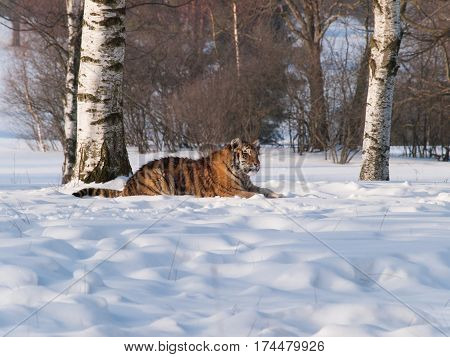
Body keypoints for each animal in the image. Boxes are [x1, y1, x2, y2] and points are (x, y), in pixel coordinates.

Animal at [73, 138, 284, 199]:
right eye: (246, 154)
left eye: (257, 154)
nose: (257, 164)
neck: (242, 173)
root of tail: (128, 186)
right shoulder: (229, 190)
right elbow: (253, 194)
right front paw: (262, 198)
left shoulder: (247, 184)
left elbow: (264, 189)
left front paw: (278, 194)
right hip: (158, 177)